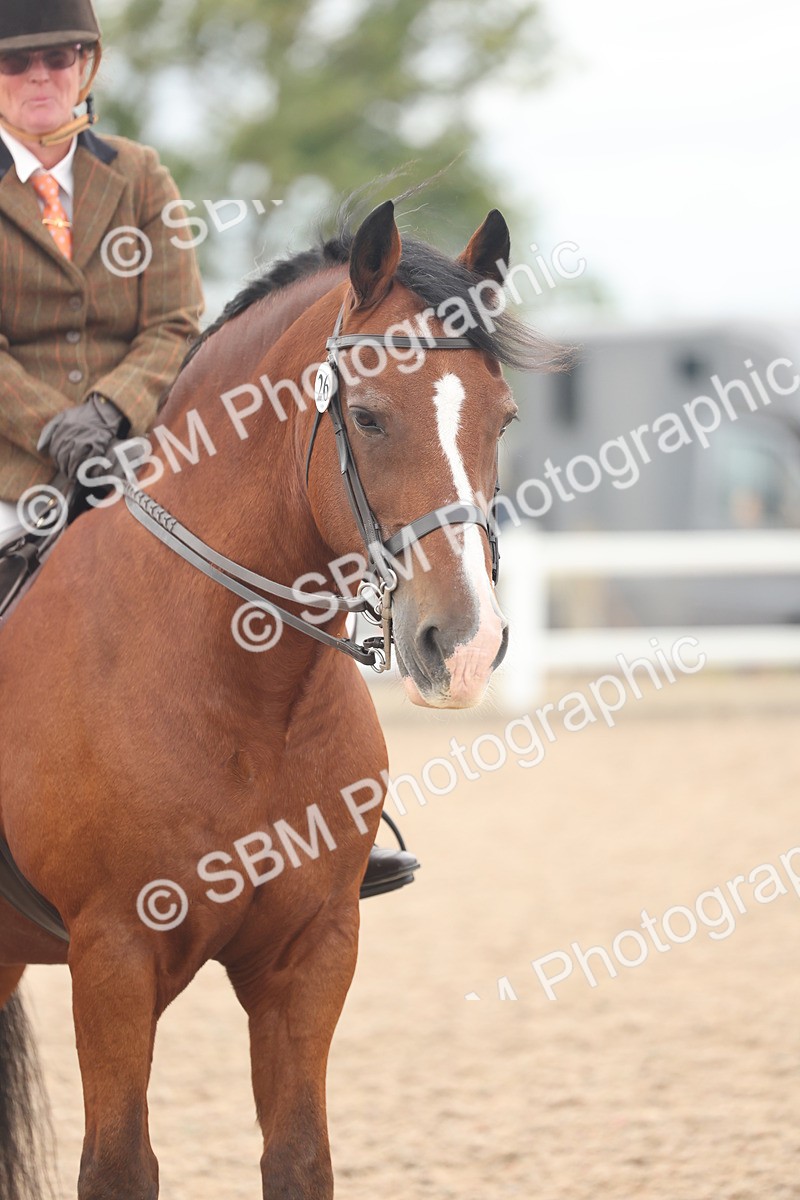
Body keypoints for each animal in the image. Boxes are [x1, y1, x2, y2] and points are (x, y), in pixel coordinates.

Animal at [0, 196, 563, 1199]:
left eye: (502, 420)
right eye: (367, 417)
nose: (464, 647)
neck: (244, 697)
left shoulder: (312, 952)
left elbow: (300, 1156)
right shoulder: (112, 958)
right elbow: (118, 1165)